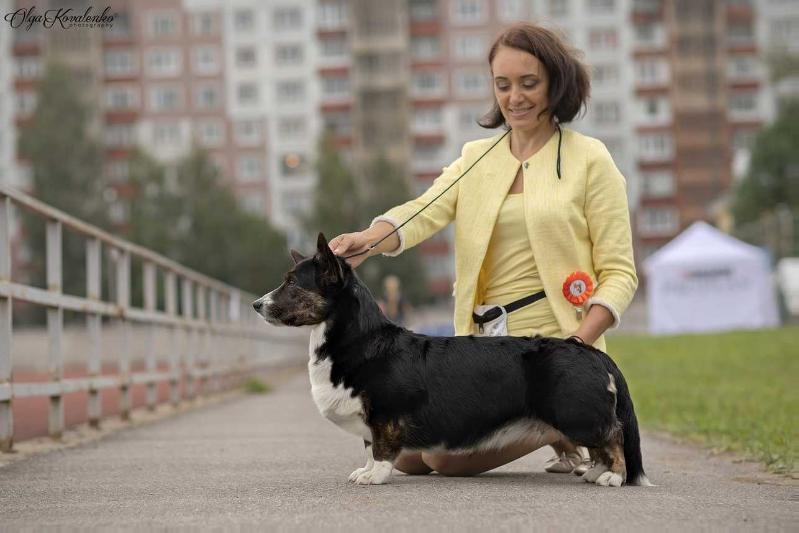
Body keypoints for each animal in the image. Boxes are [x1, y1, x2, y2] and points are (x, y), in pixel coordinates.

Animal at [253, 235, 652, 488]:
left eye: (292, 284)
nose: (256, 305)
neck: (359, 340)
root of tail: (591, 352)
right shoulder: (370, 420)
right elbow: (368, 448)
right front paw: (363, 471)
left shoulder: (385, 416)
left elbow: (381, 450)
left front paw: (374, 477)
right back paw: (595, 473)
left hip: (574, 413)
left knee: (613, 437)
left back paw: (613, 477)